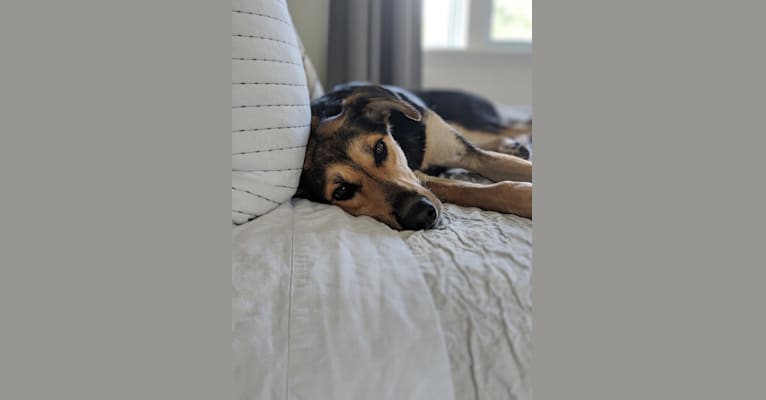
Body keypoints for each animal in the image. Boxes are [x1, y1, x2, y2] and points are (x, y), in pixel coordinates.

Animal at [296, 82, 536, 231]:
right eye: (342, 191)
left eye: (380, 149)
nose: (420, 216)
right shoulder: (421, 178)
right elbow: (471, 189)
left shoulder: (467, 155)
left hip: (473, 123)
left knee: (512, 127)